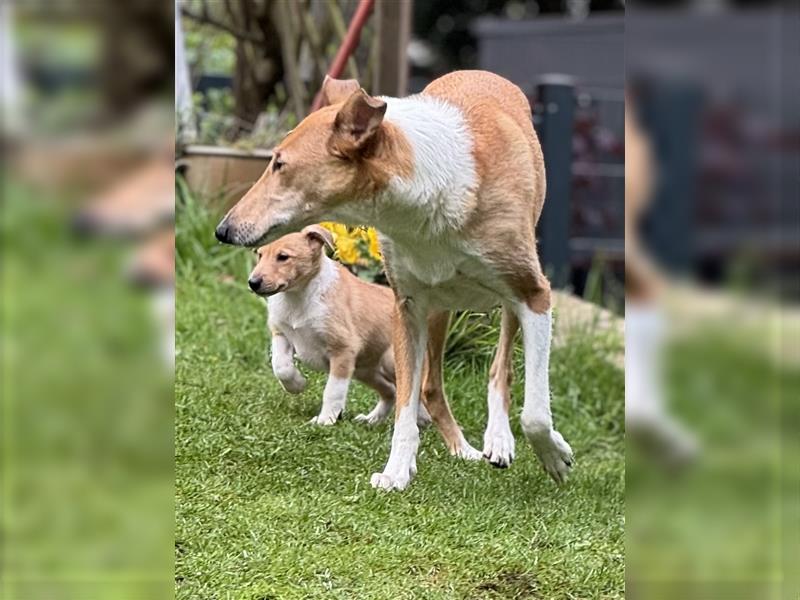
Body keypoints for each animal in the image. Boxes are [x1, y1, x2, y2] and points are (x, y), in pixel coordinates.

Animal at [252, 225, 432, 426]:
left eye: (283, 257)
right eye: (259, 254)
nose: (253, 283)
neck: (299, 296)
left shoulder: (343, 350)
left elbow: (333, 390)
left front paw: (325, 420)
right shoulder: (281, 333)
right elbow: (280, 366)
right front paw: (297, 385)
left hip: (389, 362)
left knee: (413, 393)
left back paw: (421, 420)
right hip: (365, 371)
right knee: (390, 391)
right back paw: (371, 419)